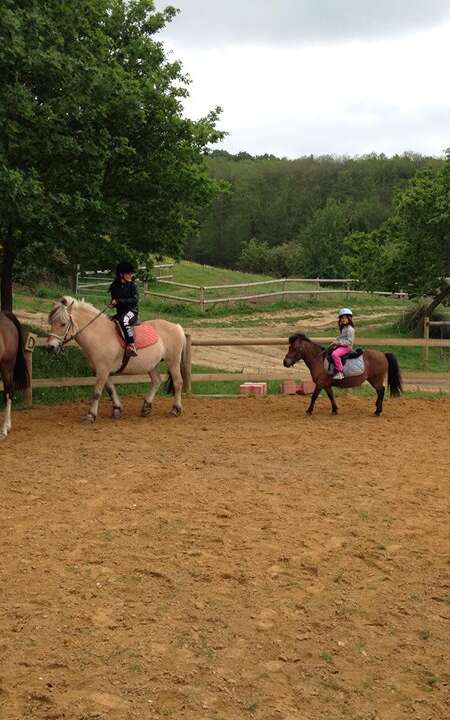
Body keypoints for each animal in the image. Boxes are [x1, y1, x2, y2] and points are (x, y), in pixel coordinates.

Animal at [47, 297, 187, 422]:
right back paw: (146, 407)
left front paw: (91, 415)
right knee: (156, 381)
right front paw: (117, 409)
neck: (99, 334)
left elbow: (97, 392)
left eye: (63, 324)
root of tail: (177, 327)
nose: (50, 347)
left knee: (178, 382)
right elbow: (110, 389)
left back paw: (175, 409)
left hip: (173, 362)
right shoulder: (102, 370)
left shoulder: (103, 370)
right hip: (152, 365)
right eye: (51, 323)